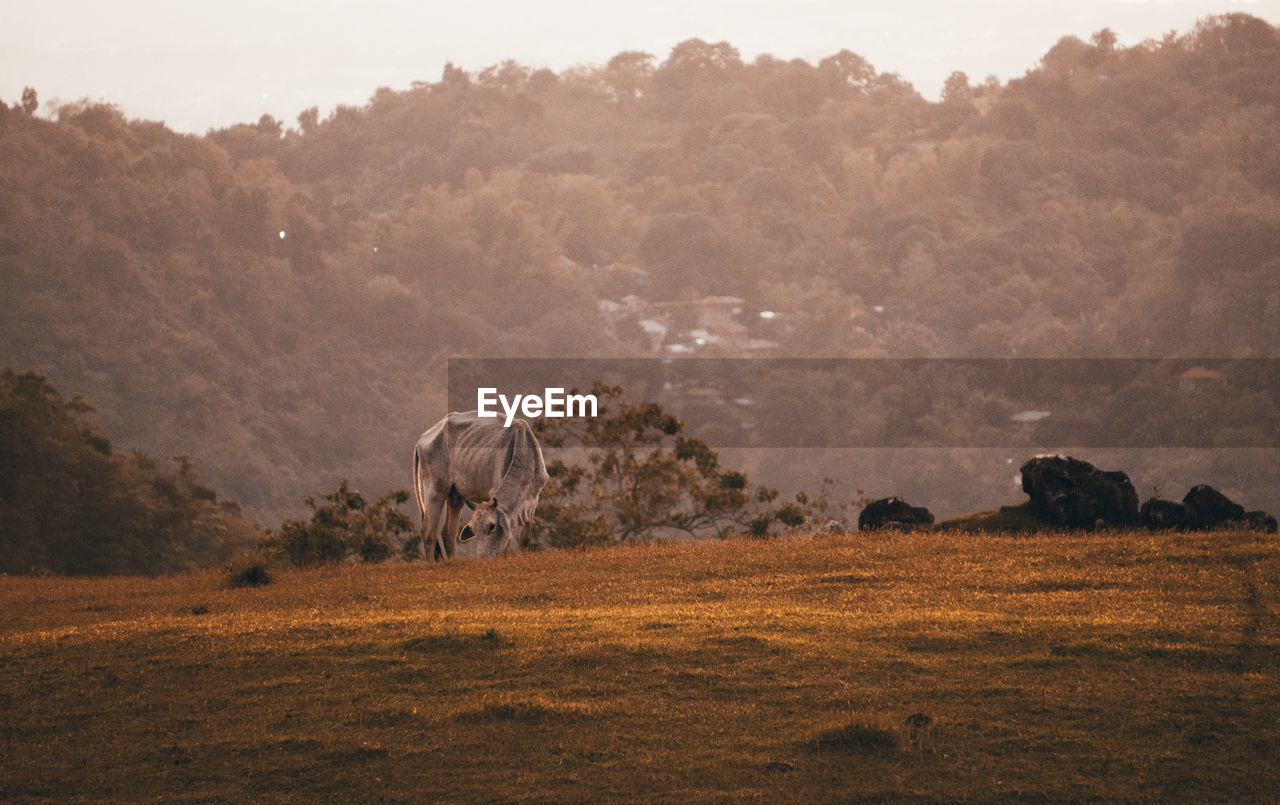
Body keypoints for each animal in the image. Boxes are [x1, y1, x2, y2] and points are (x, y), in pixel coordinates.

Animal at [409, 406, 550, 557]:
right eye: (474, 530)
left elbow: (524, 539)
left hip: (456, 496)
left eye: (491, 527)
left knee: (448, 534)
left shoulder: (532, 502)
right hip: (435, 489)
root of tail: (422, 438)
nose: (483, 558)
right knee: (428, 533)